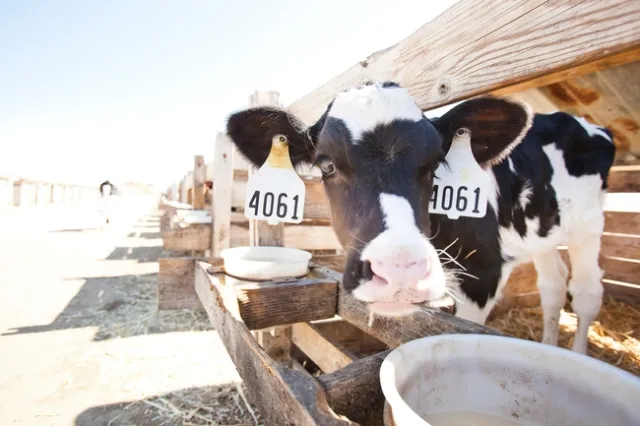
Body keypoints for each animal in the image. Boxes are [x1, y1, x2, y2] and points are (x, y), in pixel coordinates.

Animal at [225, 81, 615, 354]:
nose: (401, 270)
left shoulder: (483, 273)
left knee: (586, 291)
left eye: (435, 163)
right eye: (327, 165)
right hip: (544, 233)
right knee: (553, 286)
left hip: (589, 227)